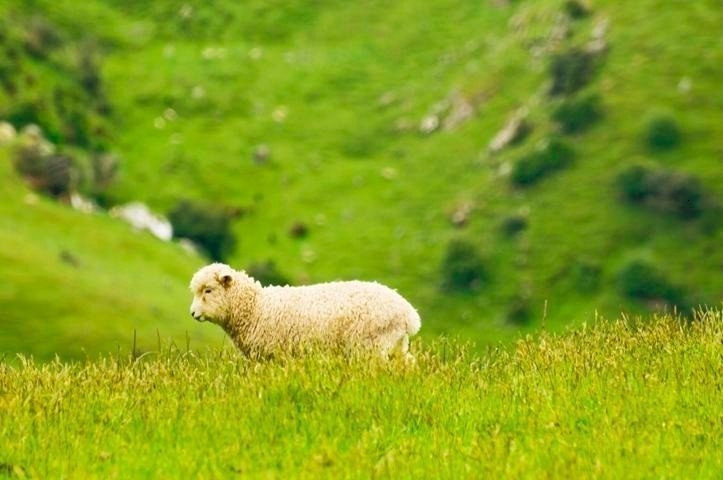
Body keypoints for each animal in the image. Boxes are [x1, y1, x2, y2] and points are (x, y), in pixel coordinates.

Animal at [189, 262, 422, 360]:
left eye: (208, 290)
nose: (192, 314)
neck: (256, 307)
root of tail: (409, 314)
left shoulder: (275, 356)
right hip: (396, 346)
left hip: (372, 346)